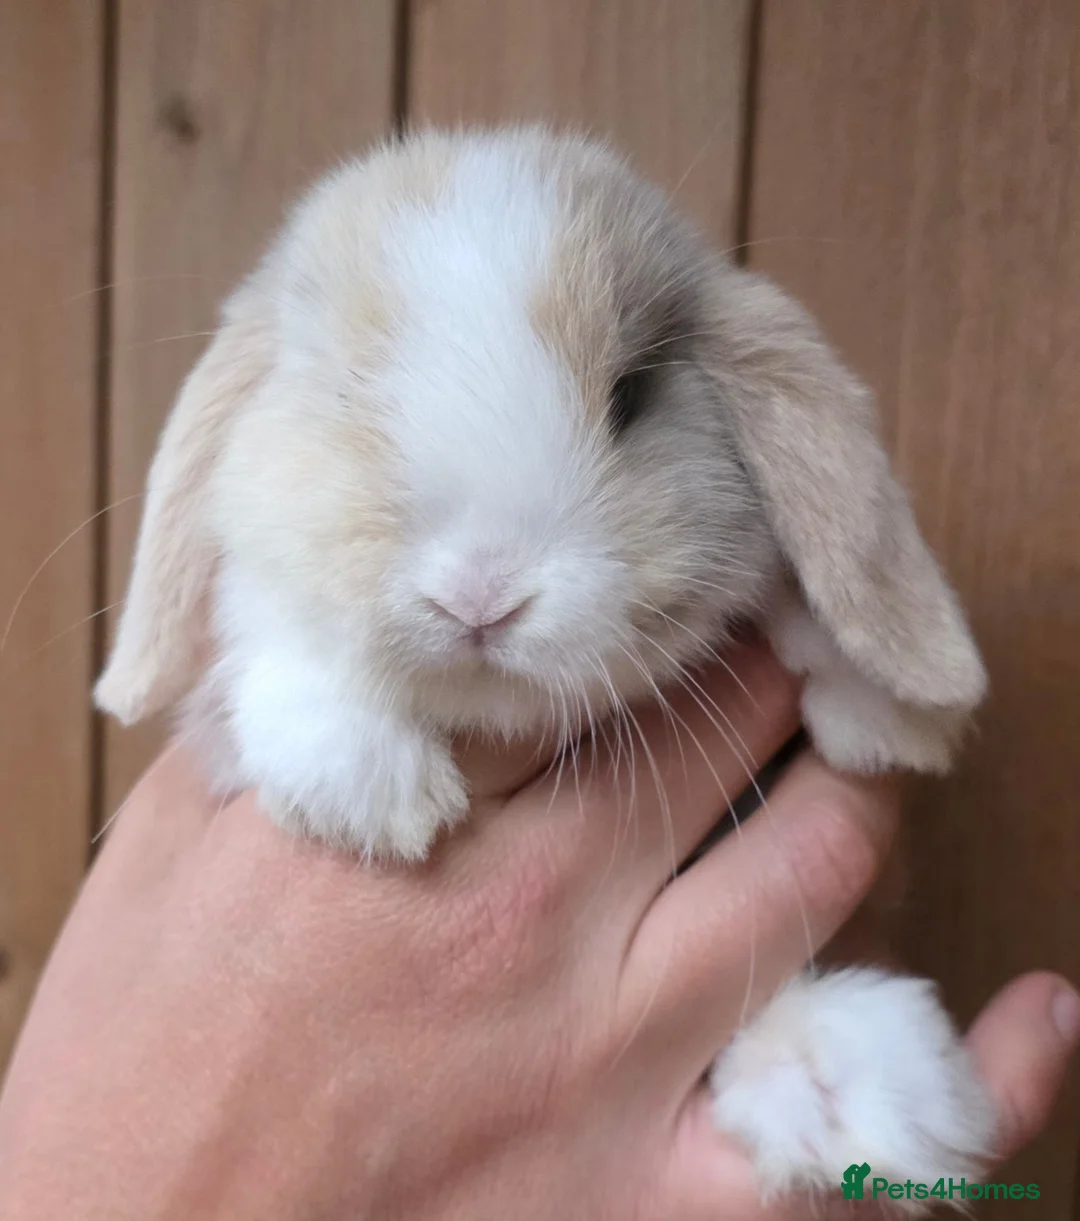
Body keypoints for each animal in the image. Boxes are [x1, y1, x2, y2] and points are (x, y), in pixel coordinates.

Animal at [95, 126, 995, 1206]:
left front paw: (885, 709)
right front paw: (374, 794)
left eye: (631, 395)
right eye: (345, 396)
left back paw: (858, 1080)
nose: (480, 595)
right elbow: (264, 624)